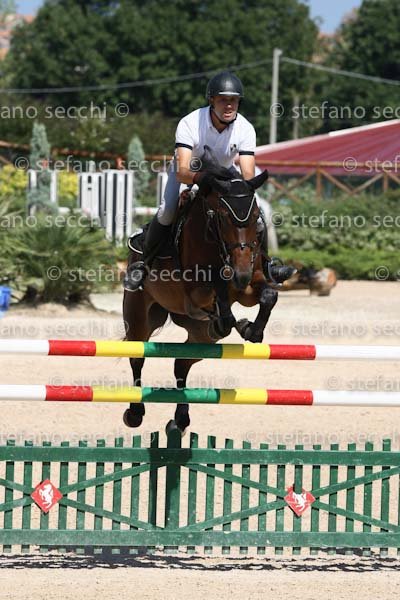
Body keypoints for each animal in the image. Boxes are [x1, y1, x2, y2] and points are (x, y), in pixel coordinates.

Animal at [123, 147, 278, 433]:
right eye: (223, 217)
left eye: (255, 218)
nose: (240, 273)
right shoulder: (196, 290)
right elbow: (217, 287)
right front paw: (237, 321)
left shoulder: (250, 285)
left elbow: (268, 295)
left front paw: (251, 330)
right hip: (139, 317)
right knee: (137, 356)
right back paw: (135, 413)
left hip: (200, 335)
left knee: (181, 363)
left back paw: (180, 419)